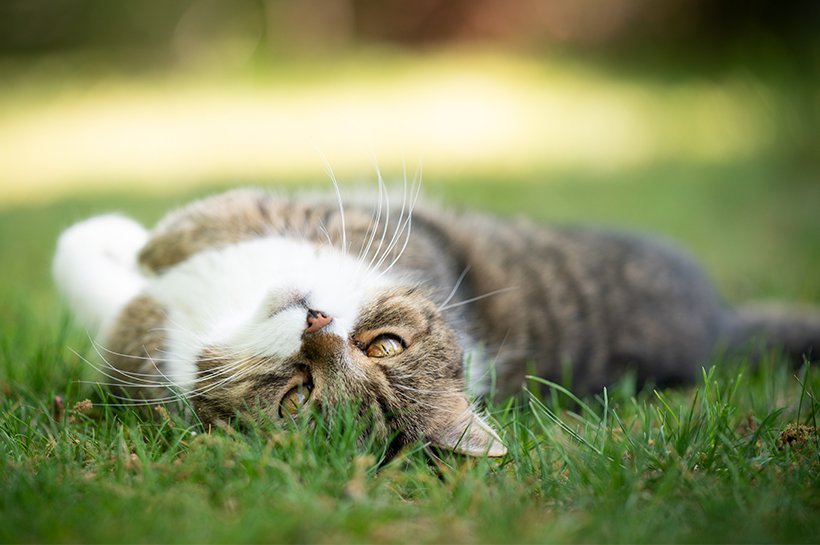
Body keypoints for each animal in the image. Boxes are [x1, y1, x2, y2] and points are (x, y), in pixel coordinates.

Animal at [52, 186, 820, 454]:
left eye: (299, 395)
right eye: (385, 343)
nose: (316, 319)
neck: (233, 310)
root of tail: (720, 330)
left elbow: (92, 259)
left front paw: (120, 247)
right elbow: (188, 230)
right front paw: (145, 244)